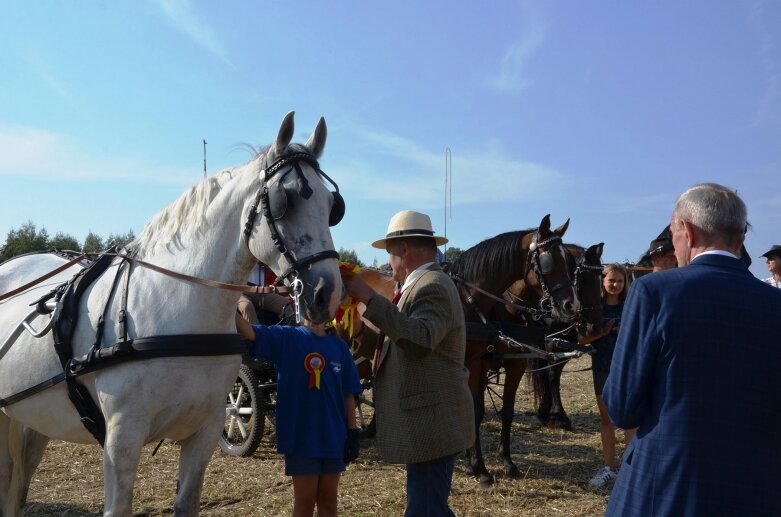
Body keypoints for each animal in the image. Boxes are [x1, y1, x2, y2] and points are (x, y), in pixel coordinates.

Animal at [0, 111, 342, 512]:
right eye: (283, 199)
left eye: (332, 206)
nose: (326, 293)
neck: (179, 310)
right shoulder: (122, 438)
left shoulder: (205, 430)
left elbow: (187, 501)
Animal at [444, 213, 580, 484]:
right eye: (549, 262)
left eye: (570, 263)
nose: (572, 305)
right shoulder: (475, 363)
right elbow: (476, 410)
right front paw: (480, 468)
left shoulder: (513, 362)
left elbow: (506, 411)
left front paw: (506, 462)